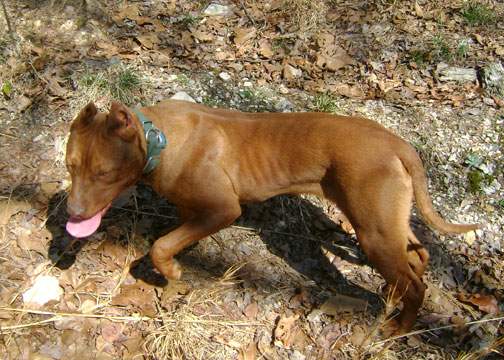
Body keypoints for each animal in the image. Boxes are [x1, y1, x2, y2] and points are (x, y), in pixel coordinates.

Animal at [65, 99, 478, 334]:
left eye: (103, 173)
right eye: (71, 167)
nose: (72, 213)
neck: (158, 138)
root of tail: (398, 144)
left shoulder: (223, 209)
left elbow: (160, 246)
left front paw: (172, 272)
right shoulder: (193, 208)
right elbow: (175, 235)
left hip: (373, 231)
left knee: (416, 285)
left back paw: (398, 329)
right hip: (388, 222)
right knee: (418, 256)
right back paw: (393, 298)